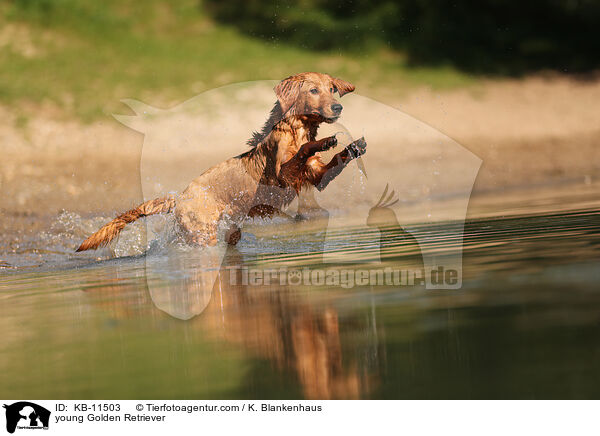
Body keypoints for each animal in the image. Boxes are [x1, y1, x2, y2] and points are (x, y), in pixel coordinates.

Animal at [75, 71, 366, 252]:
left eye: (332, 89)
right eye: (314, 90)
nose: (338, 108)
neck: (296, 128)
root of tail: (179, 198)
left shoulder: (316, 177)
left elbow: (330, 163)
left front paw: (353, 147)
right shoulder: (281, 176)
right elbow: (302, 151)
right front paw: (324, 141)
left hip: (230, 232)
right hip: (203, 233)